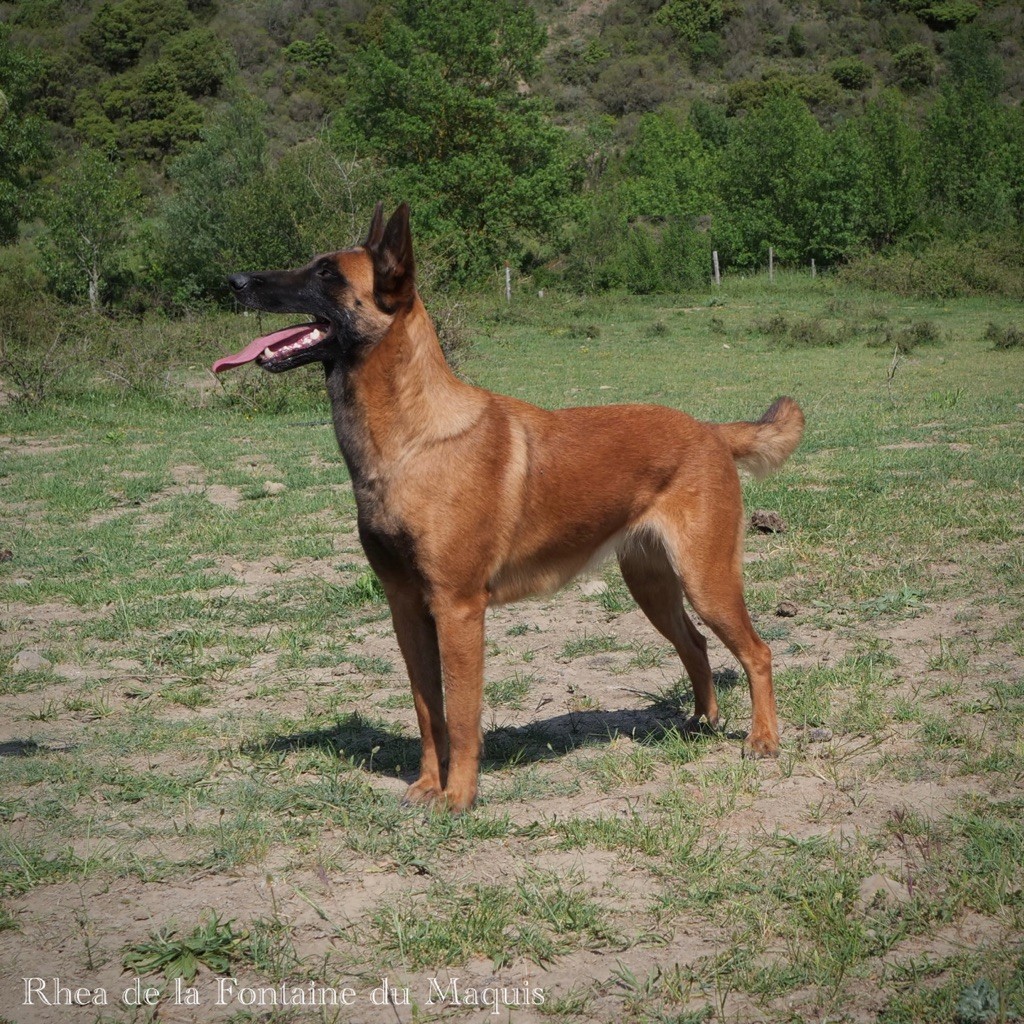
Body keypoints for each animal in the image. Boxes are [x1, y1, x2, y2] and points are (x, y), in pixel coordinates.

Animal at [216, 201, 802, 806]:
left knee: (757, 652)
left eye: (327, 273)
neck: (410, 441)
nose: (233, 281)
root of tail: (711, 431)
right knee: (697, 646)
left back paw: (762, 738)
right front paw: (428, 785)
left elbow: (462, 716)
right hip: (654, 587)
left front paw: (458, 798)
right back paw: (702, 723)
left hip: (707, 581)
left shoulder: (458, 610)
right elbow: (428, 713)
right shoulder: (406, 608)